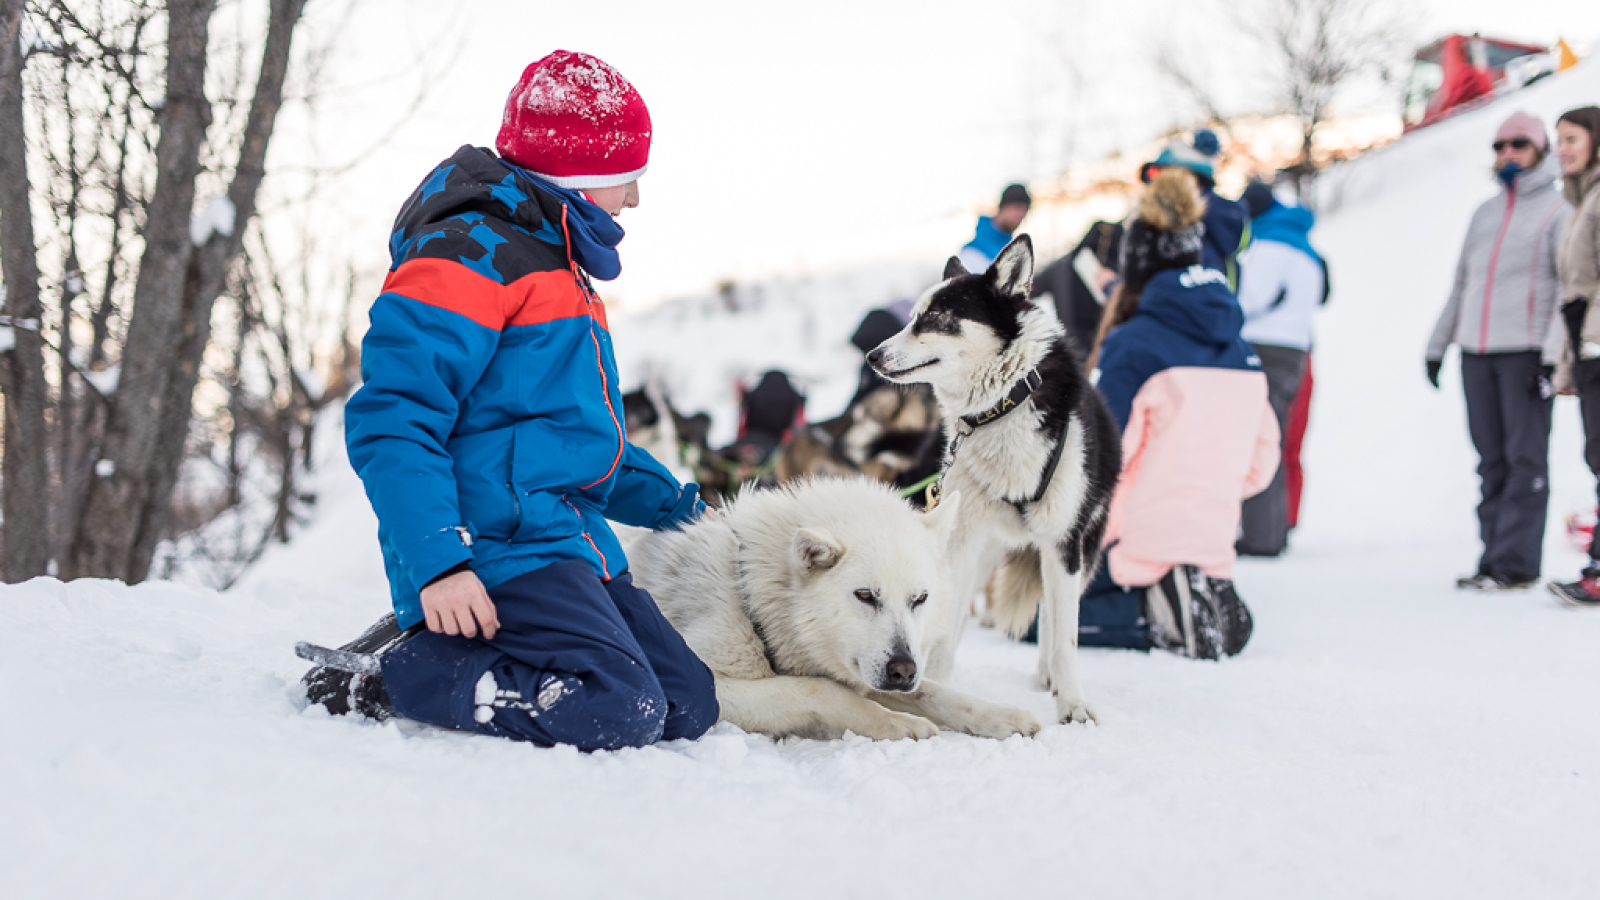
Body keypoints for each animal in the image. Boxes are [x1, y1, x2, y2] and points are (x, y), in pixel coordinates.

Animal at [617, 474, 1043, 739]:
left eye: (919, 599)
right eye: (865, 595)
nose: (903, 670)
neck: (751, 596)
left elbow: (933, 693)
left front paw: (1001, 715)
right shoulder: (715, 687)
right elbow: (823, 690)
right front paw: (895, 724)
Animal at [870, 237, 1120, 720]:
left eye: (934, 316)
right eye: (911, 316)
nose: (873, 355)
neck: (1003, 406)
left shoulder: (1064, 541)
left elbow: (1066, 636)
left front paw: (1072, 704)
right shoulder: (963, 541)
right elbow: (946, 635)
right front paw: (937, 686)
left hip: (1081, 551)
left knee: (1053, 614)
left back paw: (1048, 675)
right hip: (983, 548)